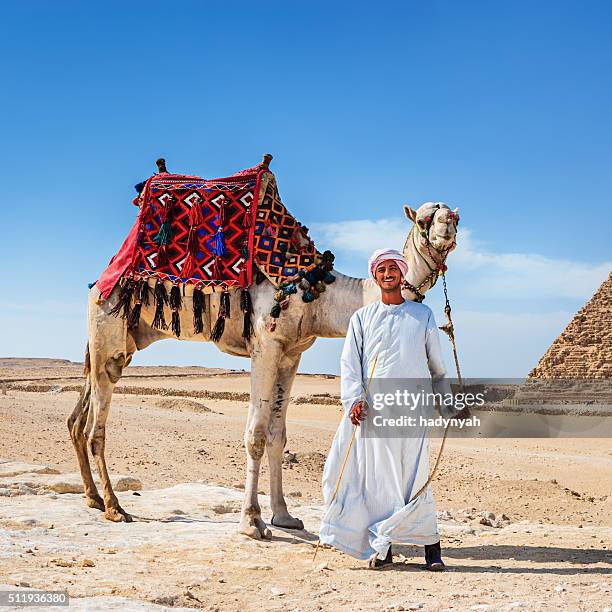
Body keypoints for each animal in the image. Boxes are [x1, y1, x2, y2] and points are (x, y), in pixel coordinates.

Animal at [68, 159, 460, 540]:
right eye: (424, 219)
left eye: (454, 215)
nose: (449, 225)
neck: (317, 290)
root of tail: (100, 280)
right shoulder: (266, 347)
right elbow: (255, 435)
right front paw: (252, 521)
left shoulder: (291, 354)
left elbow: (277, 436)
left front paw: (284, 516)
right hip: (107, 327)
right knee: (95, 427)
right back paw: (114, 507)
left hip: (122, 344)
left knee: (78, 418)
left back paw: (92, 497)